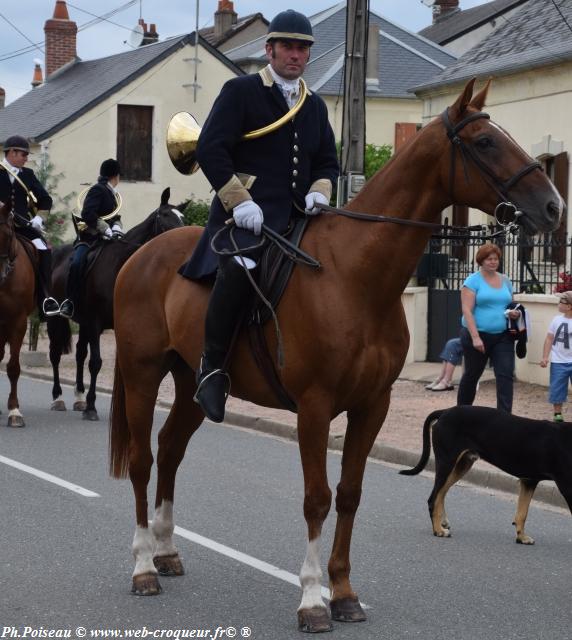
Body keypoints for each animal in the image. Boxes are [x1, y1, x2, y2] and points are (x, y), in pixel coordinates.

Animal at [49, 188, 184, 420]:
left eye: (182, 217)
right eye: (165, 216)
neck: (121, 267)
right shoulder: (95, 323)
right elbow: (96, 363)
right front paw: (92, 407)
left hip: (82, 323)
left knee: (79, 354)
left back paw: (79, 397)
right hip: (56, 318)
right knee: (56, 353)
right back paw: (58, 398)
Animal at [400, 408, 572, 544]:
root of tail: (445, 411)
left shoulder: (529, 481)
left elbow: (522, 514)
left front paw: (521, 538)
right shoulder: (565, 485)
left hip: (461, 465)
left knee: (441, 493)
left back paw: (442, 523)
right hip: (446, 462)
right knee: (433, 498)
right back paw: (438, 530)